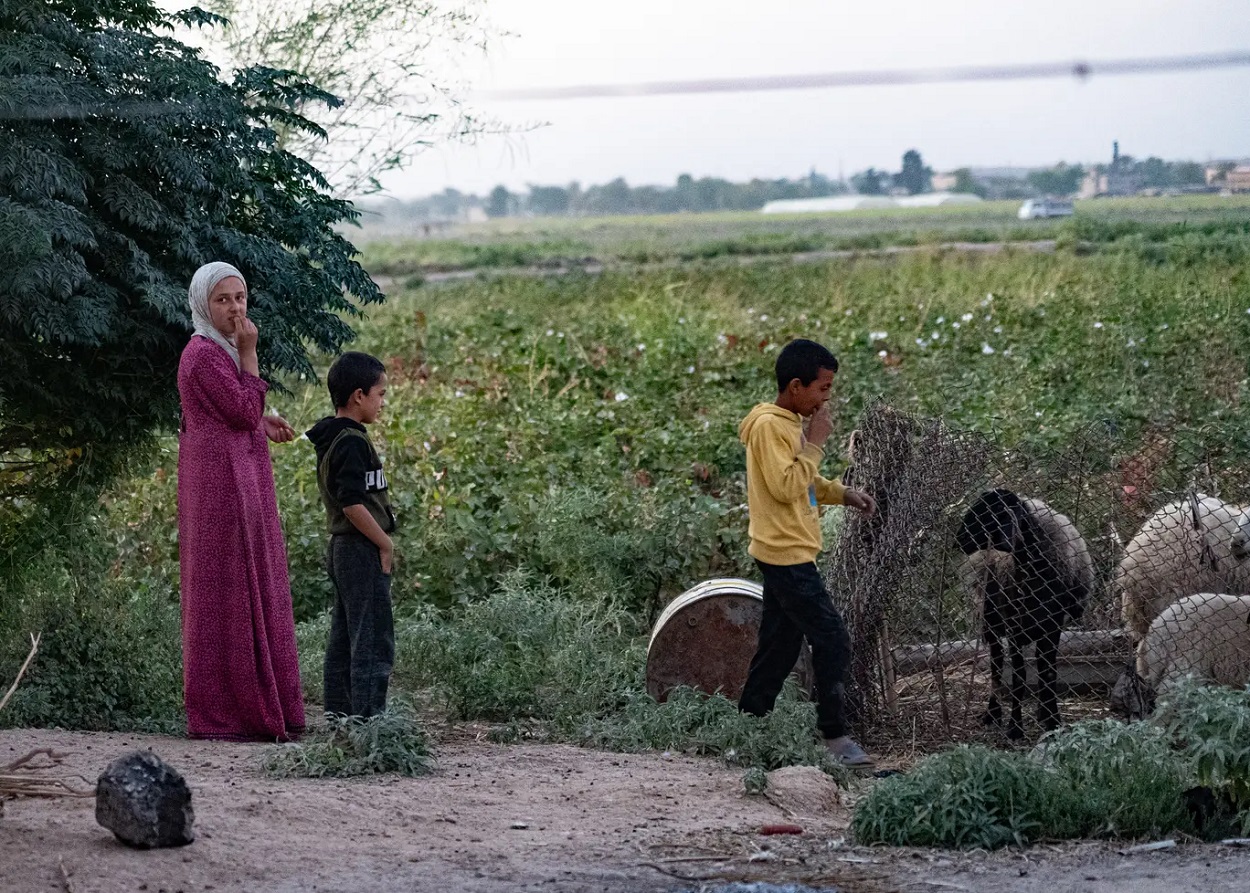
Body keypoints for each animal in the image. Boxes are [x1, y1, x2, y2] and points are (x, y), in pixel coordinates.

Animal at [955, 487, 1095, 735]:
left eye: (989, 512)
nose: (958, 540)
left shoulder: (1052, 625)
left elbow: (1048, 672)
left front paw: (1053, 721)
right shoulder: (1014, 627)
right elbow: (1019, 677)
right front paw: (1015, 727)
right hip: (991, 622)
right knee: (996, 666)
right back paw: (993, 713)